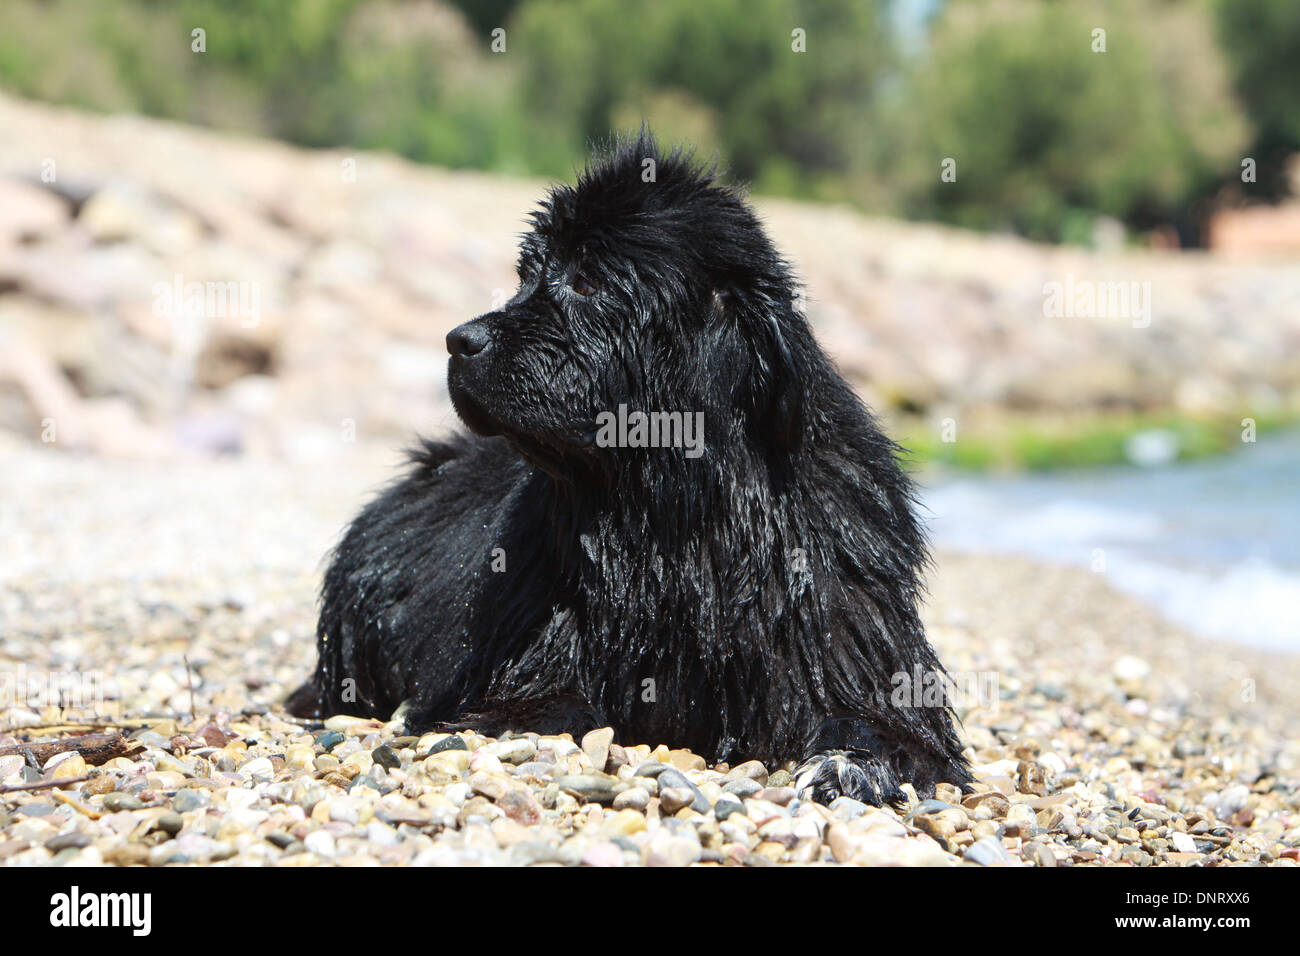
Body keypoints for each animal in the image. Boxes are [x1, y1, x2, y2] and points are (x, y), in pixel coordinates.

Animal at [289, 132, 972, 806]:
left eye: (587, 281)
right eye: (526, 275)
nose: (459, 340)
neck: (676, 512)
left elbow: (888, 729)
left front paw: (848, 765)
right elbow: (546, 705)